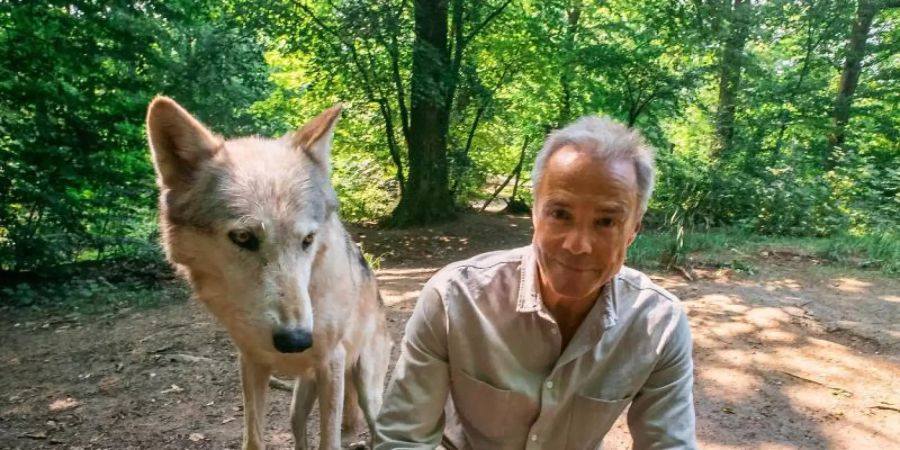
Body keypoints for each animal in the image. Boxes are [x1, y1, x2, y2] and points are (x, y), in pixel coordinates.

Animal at [146, 97, 392, 450]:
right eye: (243, 237)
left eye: (308, 239)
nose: (297, 341)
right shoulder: (251, 363)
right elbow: (254, 438)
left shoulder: (331, 362)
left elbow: (329, 441)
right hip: (299, 403)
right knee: (300, 429)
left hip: (367, 393)